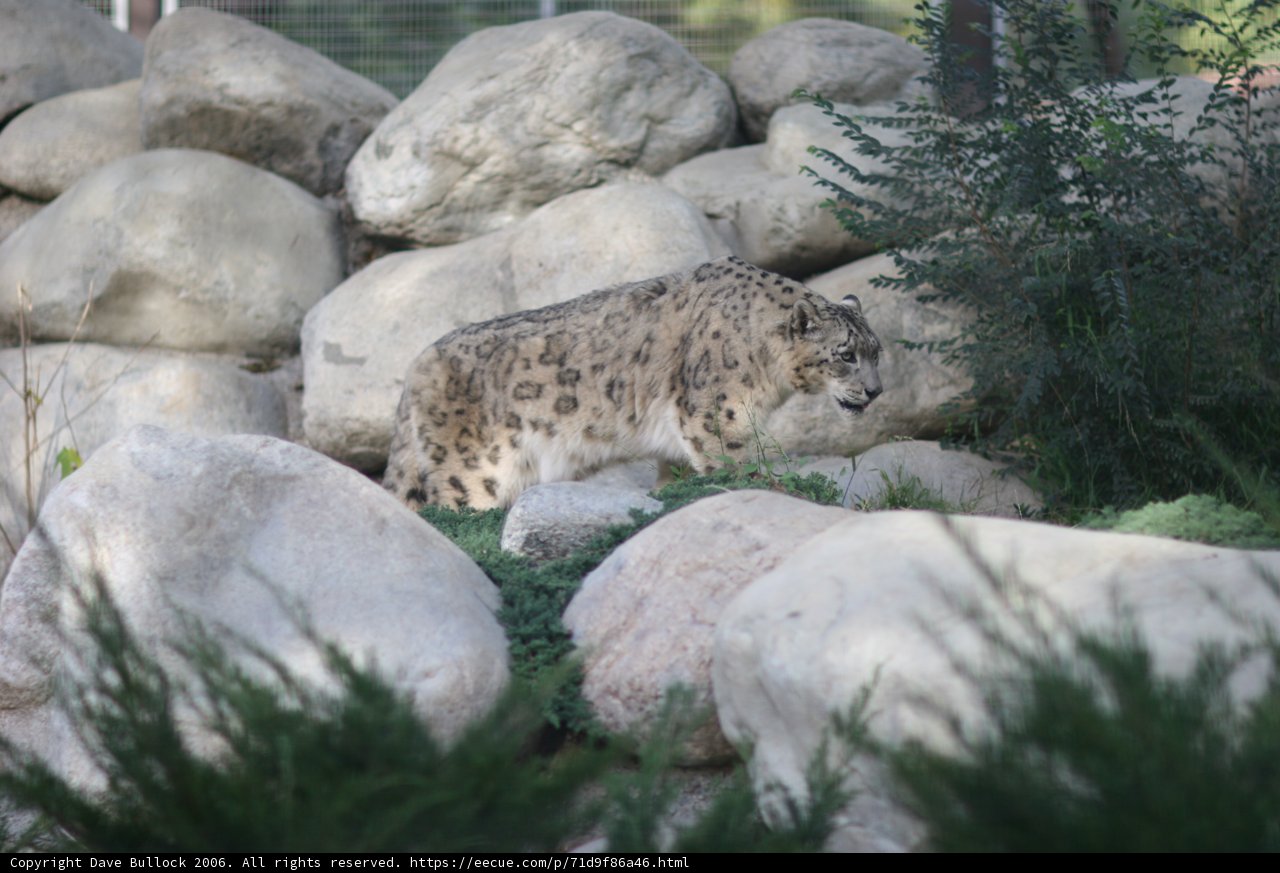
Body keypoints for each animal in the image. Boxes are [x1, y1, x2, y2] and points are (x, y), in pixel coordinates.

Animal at [383, 255, 883, 510]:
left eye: (877, 352)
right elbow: (736, 463)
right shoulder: (718, 413)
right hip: (474, 471)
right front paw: (776, 487)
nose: (876, 391)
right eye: (846, 355)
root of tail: (415, 366)